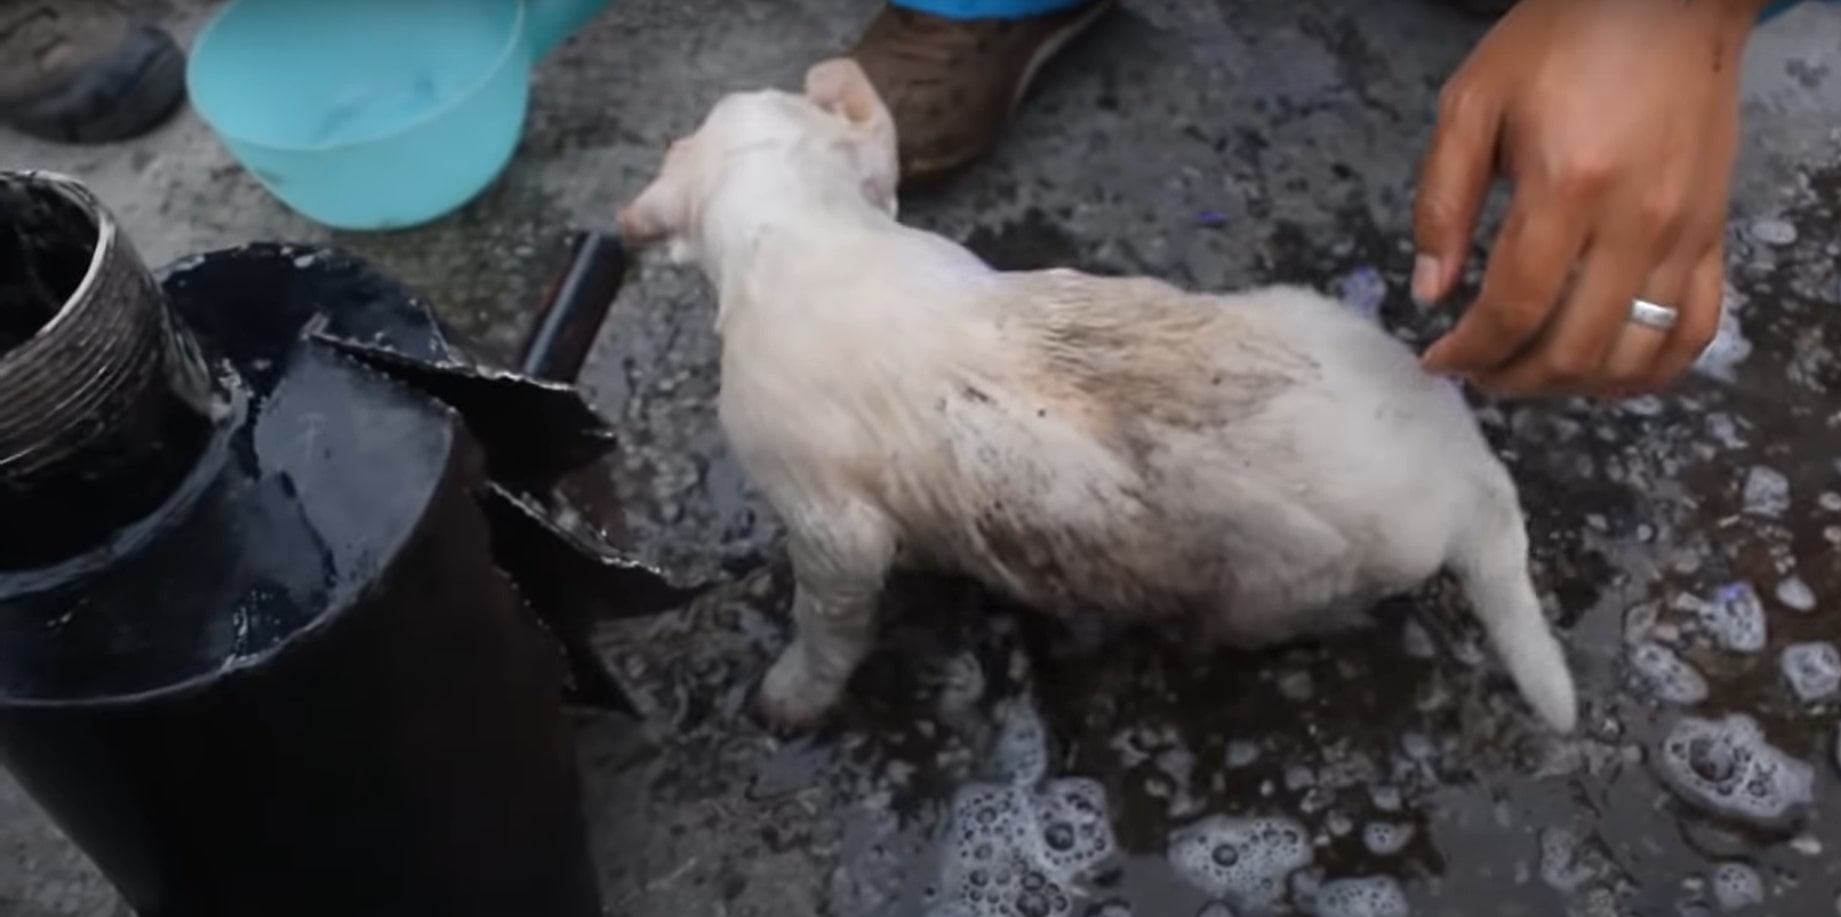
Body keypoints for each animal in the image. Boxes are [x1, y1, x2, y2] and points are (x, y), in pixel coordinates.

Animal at [625, 57, 1575, 732]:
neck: (801, 234)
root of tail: (1462, 462)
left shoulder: (827, 525)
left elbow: (827, 624)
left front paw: (785, 700)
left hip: (1278, 589)